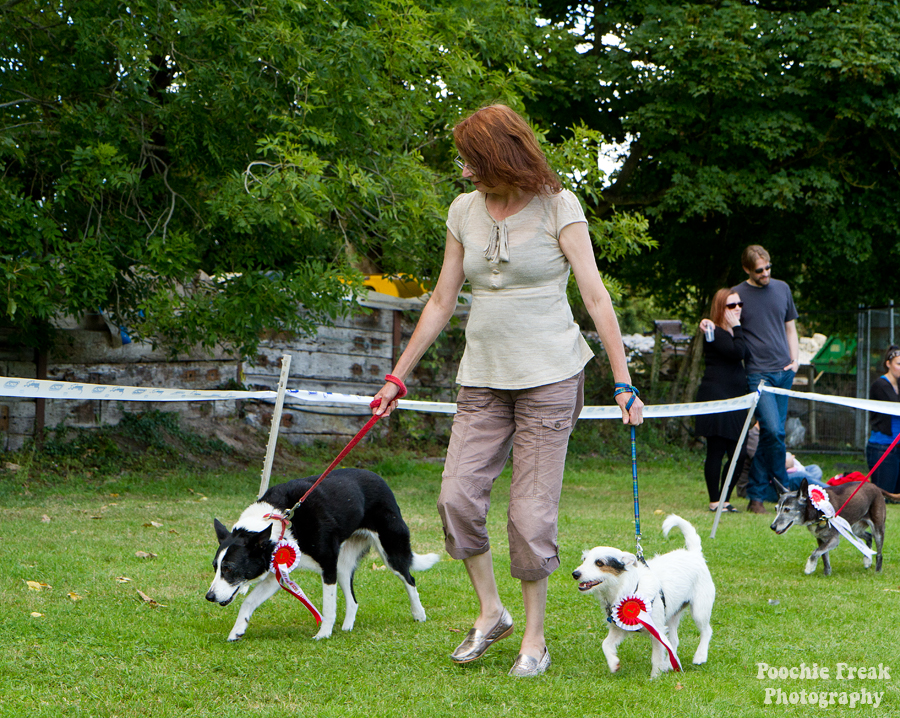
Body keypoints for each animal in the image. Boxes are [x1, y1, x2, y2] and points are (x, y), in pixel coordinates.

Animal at [572, 516, 712, 680]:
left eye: (599, 563)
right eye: (584, 559)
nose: (575, 574)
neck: (629, 589)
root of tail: (694, 554)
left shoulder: (656, 630)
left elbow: (656, 657)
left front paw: (655, 678)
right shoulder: (618, 629)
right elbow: (605, 644)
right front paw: (613, 663)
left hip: (699, 610)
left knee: (706, 631)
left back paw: (700, 656)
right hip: (671, 616)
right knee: (673, 641)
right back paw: (670, 664)